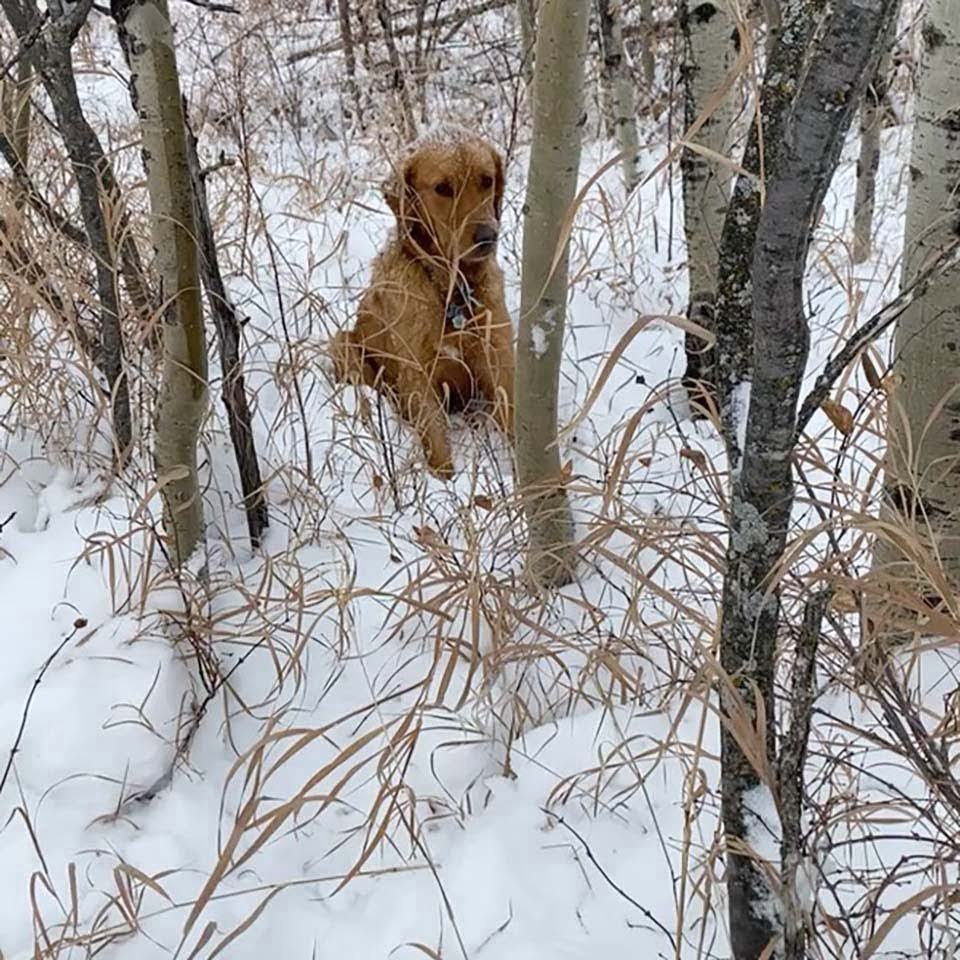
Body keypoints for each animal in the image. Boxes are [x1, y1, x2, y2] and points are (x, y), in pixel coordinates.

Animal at [332, 129, 512, 480]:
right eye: (442, 188)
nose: (487, 237)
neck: (452, 289)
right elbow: (437, 440)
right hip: (341, 343)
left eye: (487, 180)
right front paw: (445, 484)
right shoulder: (417, 375)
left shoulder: (497, 356)